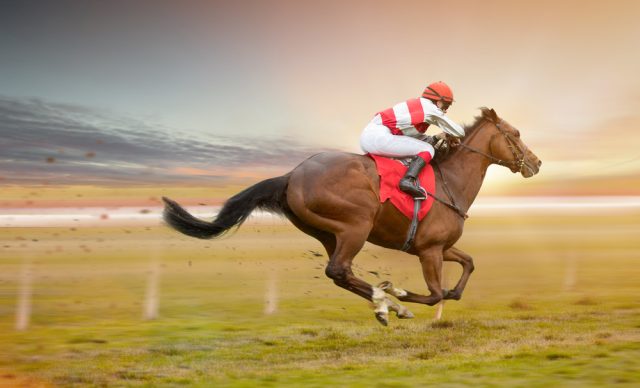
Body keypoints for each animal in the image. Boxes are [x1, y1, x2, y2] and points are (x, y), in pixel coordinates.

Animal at [164, 107, 540, 326]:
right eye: (516, 134)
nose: (536, 163)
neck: (451, 181)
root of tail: (292, 175)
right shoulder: (430, 250)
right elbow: (435, 293)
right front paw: (402, 295)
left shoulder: (438, 247)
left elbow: (467, 267)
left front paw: (413, 297)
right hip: (355, 226)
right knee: (339, 270)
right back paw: (389, 303)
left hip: (328, 233)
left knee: (339, 274)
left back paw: (384, 304)